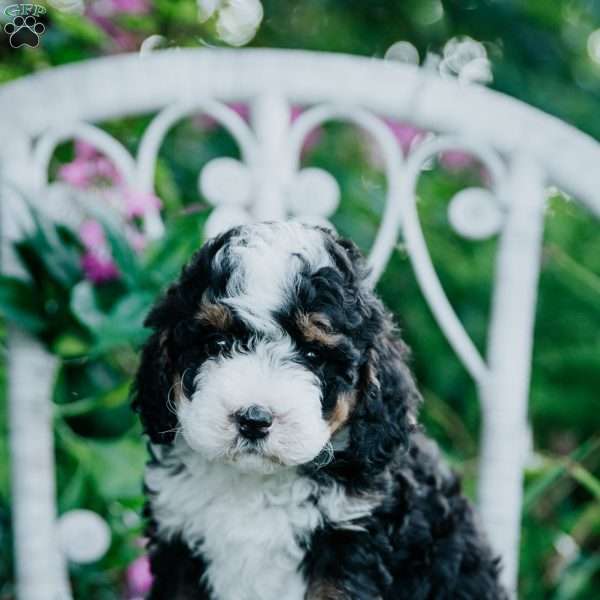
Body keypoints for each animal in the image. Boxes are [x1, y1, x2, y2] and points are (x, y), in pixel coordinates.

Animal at [134, 221, 508, 600]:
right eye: (217, 344)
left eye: (313, 355)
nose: (254, 419)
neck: (256, 481)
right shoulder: (180, 545)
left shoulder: (351, 545)